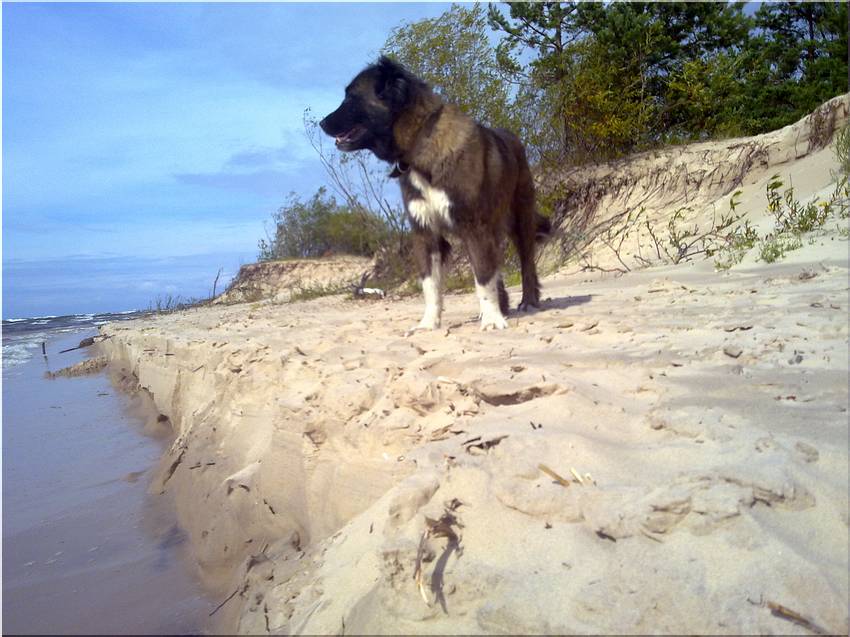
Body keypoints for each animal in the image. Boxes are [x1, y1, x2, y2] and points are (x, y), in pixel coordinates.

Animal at [320, 56, 551, 331]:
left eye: (352, 97)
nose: (322, 123)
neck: (419, 140)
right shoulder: (426, 232)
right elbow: (431, 285)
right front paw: (429, 324)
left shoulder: (475, 228)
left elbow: (483, 278)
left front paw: (492, 320)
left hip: (519, 220)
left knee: (526, 264)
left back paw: (527, 302)